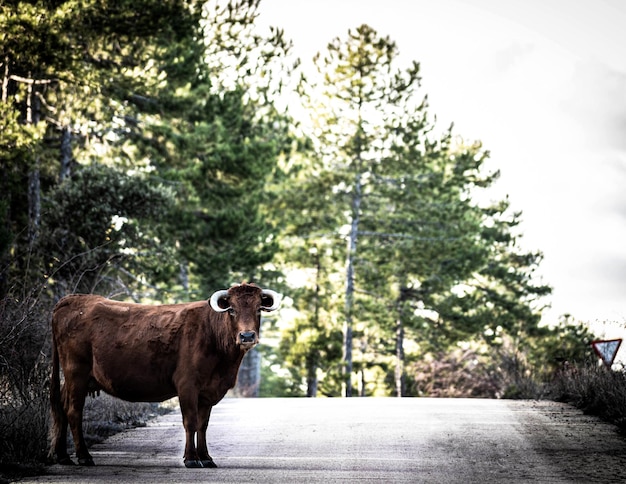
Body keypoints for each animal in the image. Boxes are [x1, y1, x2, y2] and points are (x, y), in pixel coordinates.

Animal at [50, 282, 280, 466]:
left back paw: (63, 456)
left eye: (258, 309)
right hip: (76, 372)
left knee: (61, 406)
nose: (247, 336)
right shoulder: (187, 385)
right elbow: (190, 422)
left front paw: (206, 458)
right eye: (231, 310)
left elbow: (203, 425)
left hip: (73, 378)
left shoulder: (208, 391)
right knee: (73, 410)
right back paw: (83, 456)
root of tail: (73, 299)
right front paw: (191, 459)